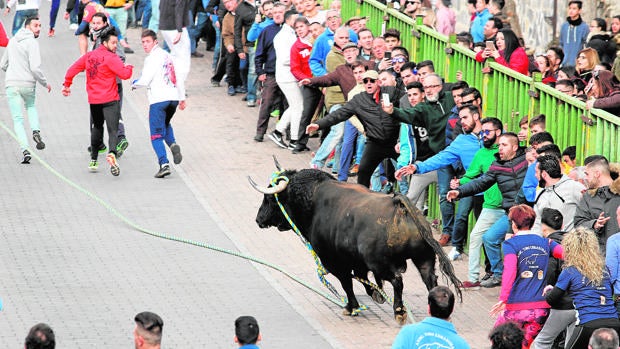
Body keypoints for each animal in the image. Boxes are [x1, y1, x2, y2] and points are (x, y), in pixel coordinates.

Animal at [251, 167, 460, 322]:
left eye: (269, 199)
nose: (258, 219)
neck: (314, 201)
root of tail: (399, 206)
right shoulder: (357, 263)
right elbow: (362, 281)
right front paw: (376, 293)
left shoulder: (335, 262)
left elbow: (347, 284)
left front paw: (351, 307)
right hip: (424, 259)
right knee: (430, 281)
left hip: (381, 263)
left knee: (397, 281)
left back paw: (399, 310)